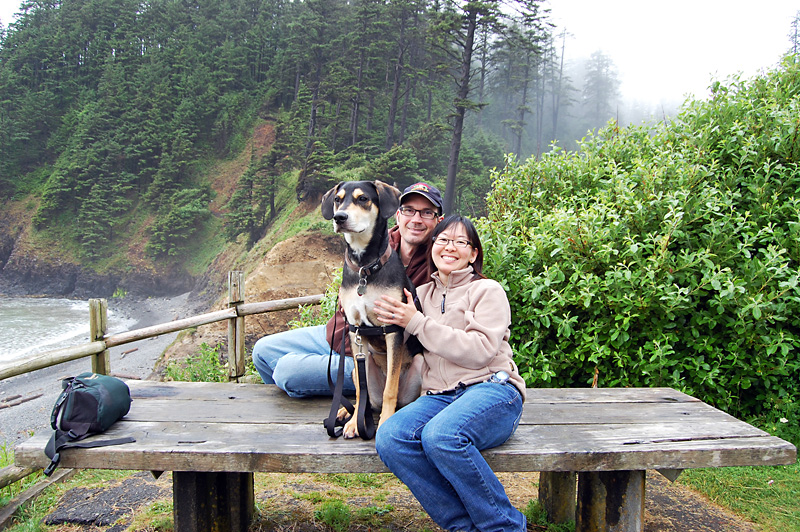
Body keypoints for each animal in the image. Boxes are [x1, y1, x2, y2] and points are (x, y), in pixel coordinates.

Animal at [320, 181, 424, 438]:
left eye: (363, 198)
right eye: (337, 199)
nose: (339, 217)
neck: (365, 268)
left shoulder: (392, 327)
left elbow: (390, 390)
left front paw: (385, 420)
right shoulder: (355, 330)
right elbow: (360, 390)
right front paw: (354, 422)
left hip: (419, 364)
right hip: (358, 366)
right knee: (363, 394)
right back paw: (345, 412)